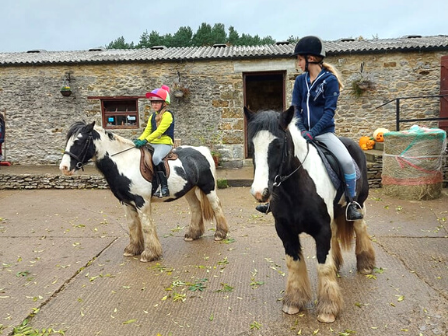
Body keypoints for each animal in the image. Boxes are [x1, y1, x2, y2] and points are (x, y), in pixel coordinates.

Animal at [59, 121, 228, 262]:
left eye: (79, 141)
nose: (64, 168)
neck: (125, 163)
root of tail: (202, 150)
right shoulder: (127, 203)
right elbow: (133, 225)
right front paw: (133, 249)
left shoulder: (142, 201)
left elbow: (146, 226)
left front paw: (150, 253)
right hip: (189, 190)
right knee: (195, 207)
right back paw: (193, 234)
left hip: (208, 187)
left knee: (217, 206)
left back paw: (220, 234)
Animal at [245, 107, 374, 322]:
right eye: (251, 144)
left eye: (278, 144)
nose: (259, 192)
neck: (296, 189)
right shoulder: (285, 231)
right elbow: (294, 263)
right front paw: (294, 301)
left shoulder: (321, 230)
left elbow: (323, 266)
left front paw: (328, 309)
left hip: (360, 203)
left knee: (361, 228)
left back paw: (366, 264)